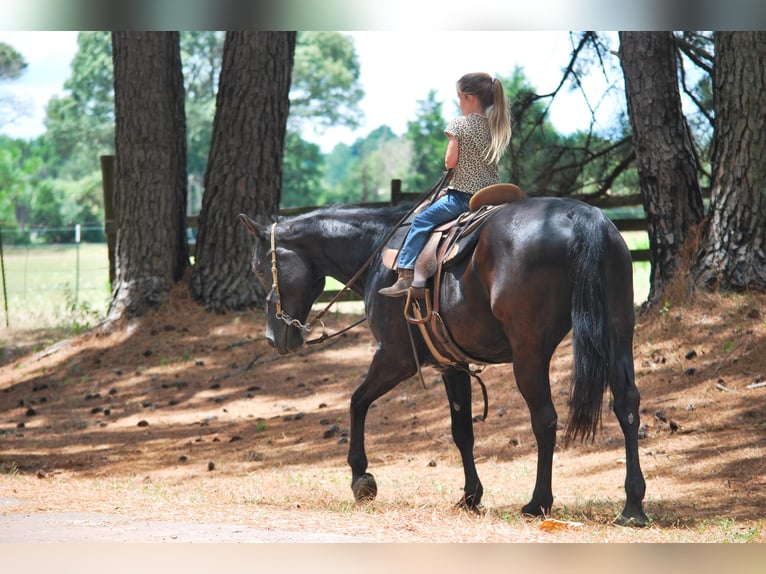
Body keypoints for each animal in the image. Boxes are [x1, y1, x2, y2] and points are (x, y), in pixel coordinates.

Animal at [240, 197, 648, 528]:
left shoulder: (395, 357)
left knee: (545, 420)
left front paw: (361, 478)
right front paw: (470, 495)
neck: (377, 249)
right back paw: (632, 506)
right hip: (617, 336)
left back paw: (538, 503)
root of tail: (582, 216)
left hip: (530, 355)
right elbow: (462, 431)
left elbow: (357, 402)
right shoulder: (453, 365)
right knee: (626, 406)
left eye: (260, 269)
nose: (274, 337)